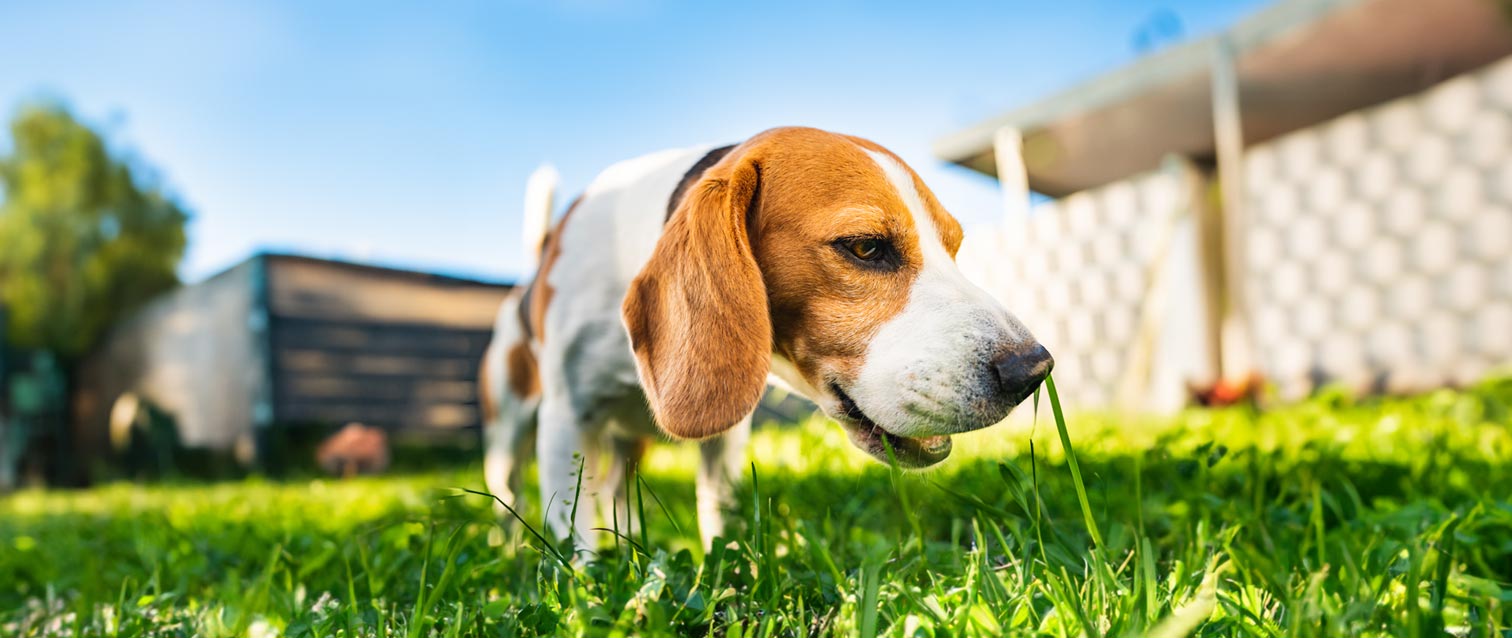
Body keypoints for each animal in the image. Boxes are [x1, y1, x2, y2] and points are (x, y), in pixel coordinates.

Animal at [480, 128, 1052, 547]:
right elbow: (576, 542)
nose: (1033, 370)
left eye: (954, 248)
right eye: (865, 247)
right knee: (510, 493)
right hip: (509, 435)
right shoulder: (565, 423)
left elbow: (721, 520)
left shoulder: (724, 438)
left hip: (627, 447)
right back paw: (509, 554)